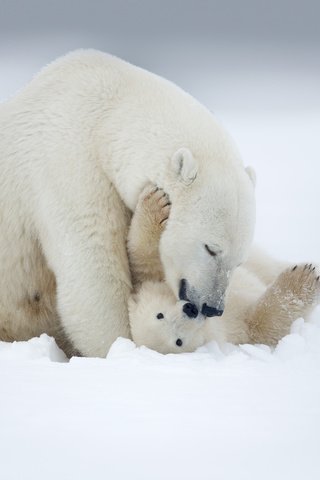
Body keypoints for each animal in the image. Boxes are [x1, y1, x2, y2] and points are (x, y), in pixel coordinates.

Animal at [0, 49, 255, 356]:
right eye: (211, 248)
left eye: (239, 260)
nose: (212, 307)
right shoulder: (68, 169)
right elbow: (93, 274)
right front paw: (123, 346)